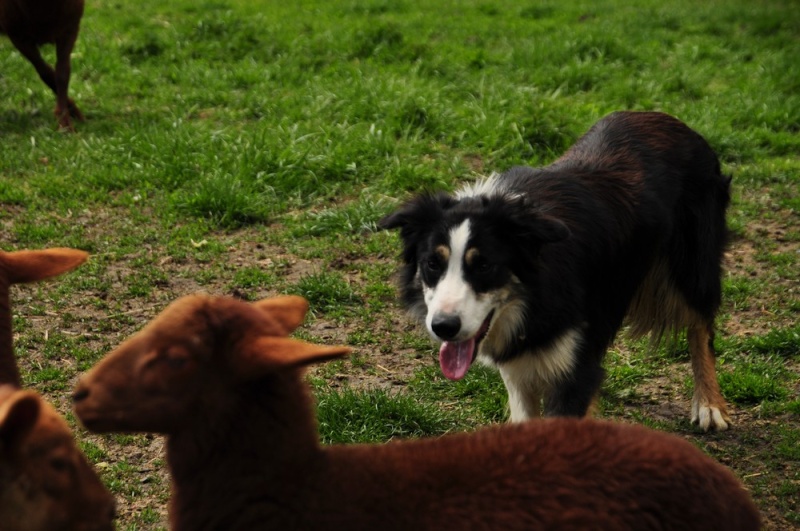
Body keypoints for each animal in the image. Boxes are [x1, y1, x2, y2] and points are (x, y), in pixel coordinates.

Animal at [0, 0, 85, 130]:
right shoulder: (18, 37)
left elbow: (62, 74)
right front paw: (65, 117)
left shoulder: (70, 29)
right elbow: (45, 72)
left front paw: (67, 117)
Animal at [380, 111, 732, 432]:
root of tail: (670, 119)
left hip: (692, 266)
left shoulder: (574, 369)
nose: (443, 327)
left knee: (701, 327)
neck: (532, 299)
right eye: (432, 264)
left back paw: (709, 405)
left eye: (484, 265)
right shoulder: (519, 370)